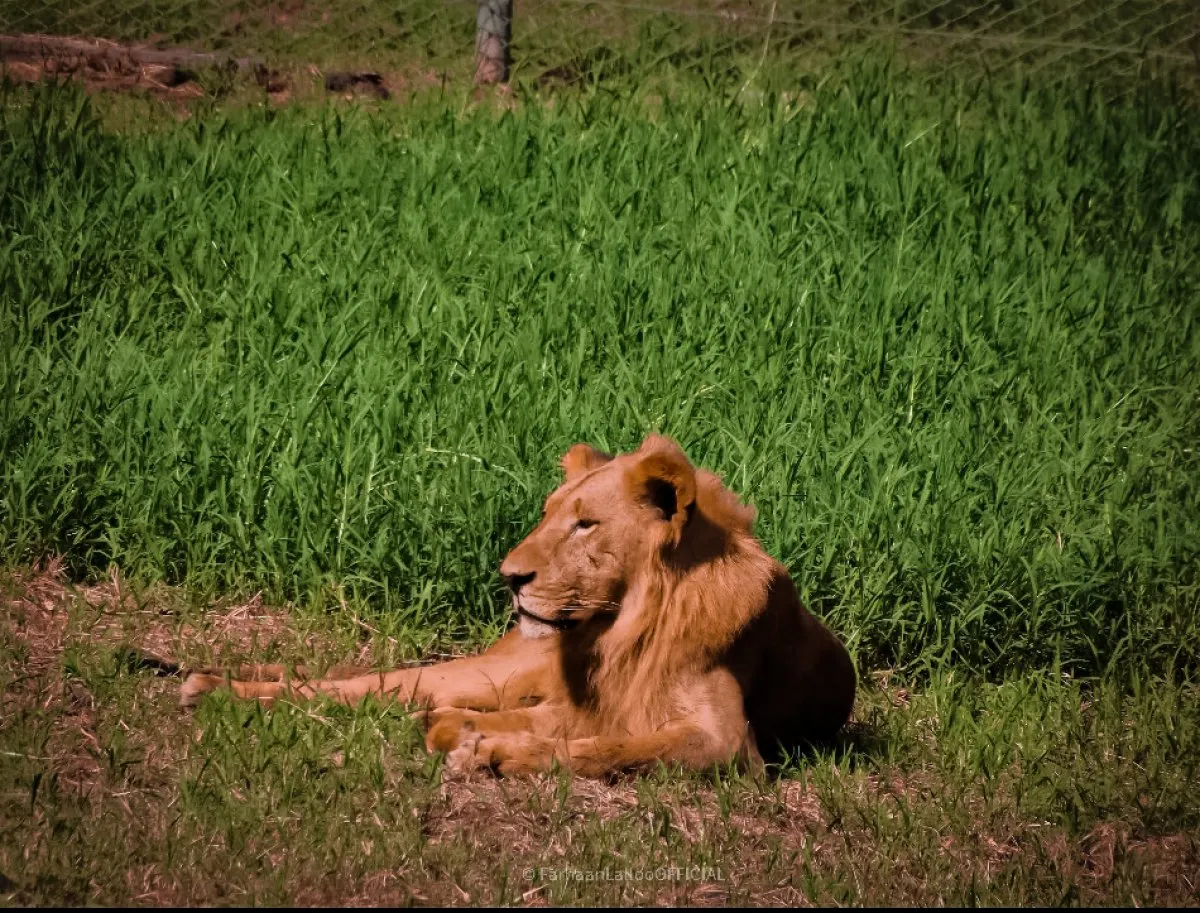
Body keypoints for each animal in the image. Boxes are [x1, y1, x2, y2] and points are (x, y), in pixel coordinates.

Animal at [181, 434, 856, 777]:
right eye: (548, 514)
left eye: (585, 524)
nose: (509, 577)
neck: (628, 628)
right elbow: (602, 743)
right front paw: (488, 746)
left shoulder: (728, 743)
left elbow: (618, 746)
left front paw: (486, 745)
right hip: (496, 670)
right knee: (374, 684)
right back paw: (213, 688)